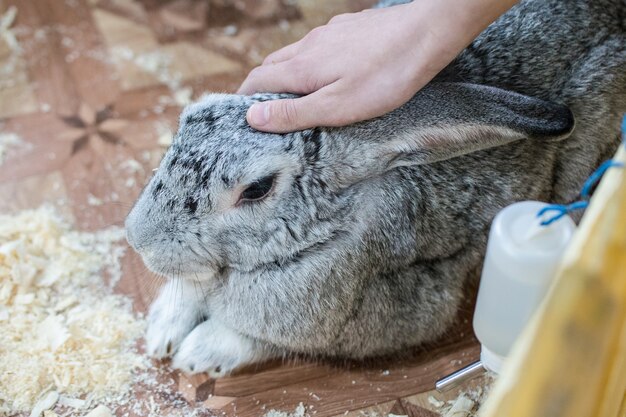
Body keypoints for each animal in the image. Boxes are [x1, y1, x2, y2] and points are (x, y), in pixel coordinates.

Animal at [125, 0, 624, 376]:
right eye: (188, 118)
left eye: (256, 189)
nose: (137, 238)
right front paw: (161, 334)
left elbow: (257, 338)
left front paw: (197, 354)